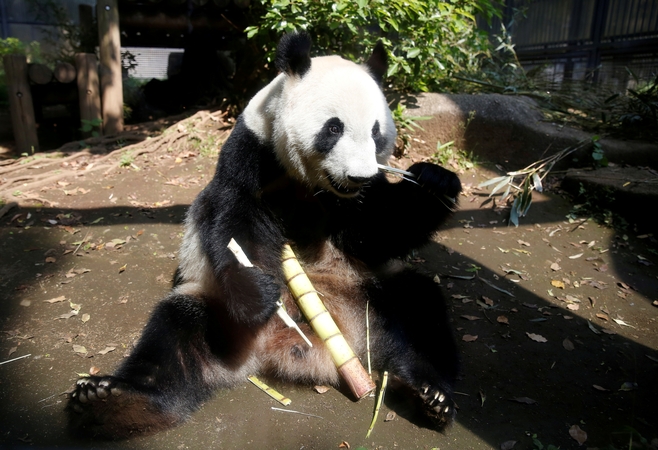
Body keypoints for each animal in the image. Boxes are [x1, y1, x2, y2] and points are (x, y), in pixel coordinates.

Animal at [65, 30, 456, 436]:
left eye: (376, 133)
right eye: (334, 128)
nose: (358, 176)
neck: (313, 184)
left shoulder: (358, 204)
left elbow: (377, 232)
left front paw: (434, 182)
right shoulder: (253, 151)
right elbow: (236, 219)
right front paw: (258, 291)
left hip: (368, 292)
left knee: (421, 308)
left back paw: (431, 396)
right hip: (215, 307)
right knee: (175, 332)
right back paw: (115, 402)